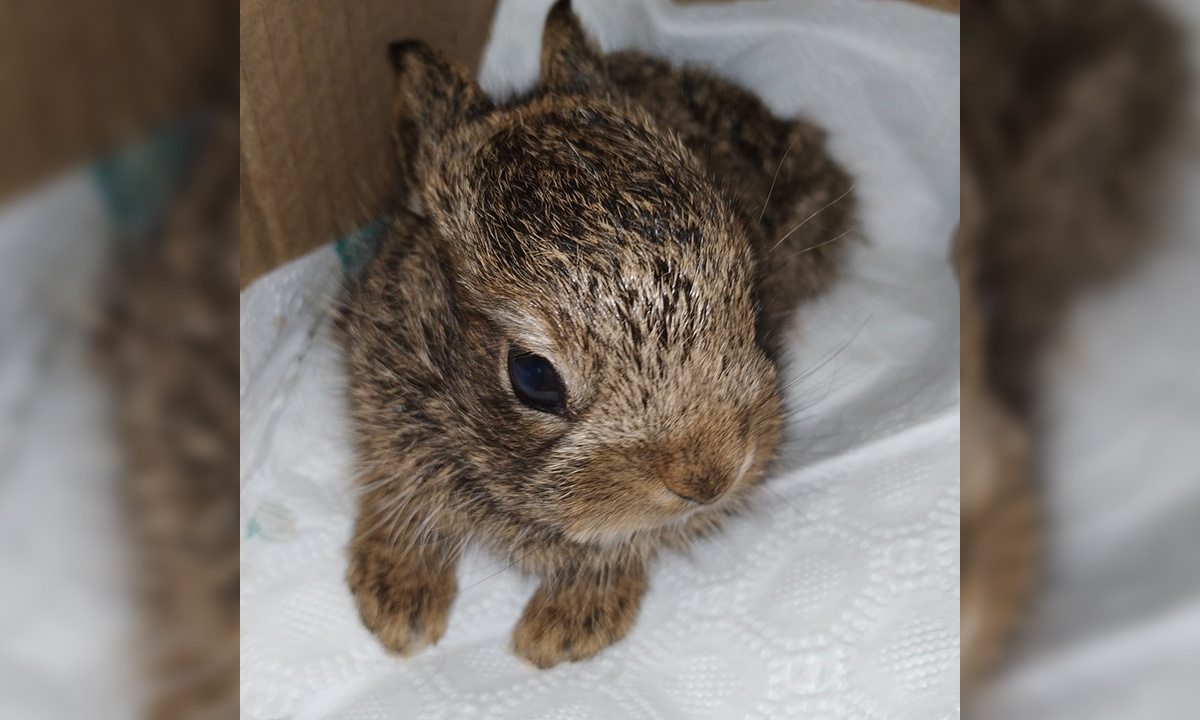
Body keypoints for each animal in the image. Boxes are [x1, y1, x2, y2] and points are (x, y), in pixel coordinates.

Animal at [340, 0, 854, 667]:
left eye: (756, 301)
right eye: (532, 377)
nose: (711, 477)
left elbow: (623, 545)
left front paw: (561, 630)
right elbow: (398, 494)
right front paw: (396, 603)